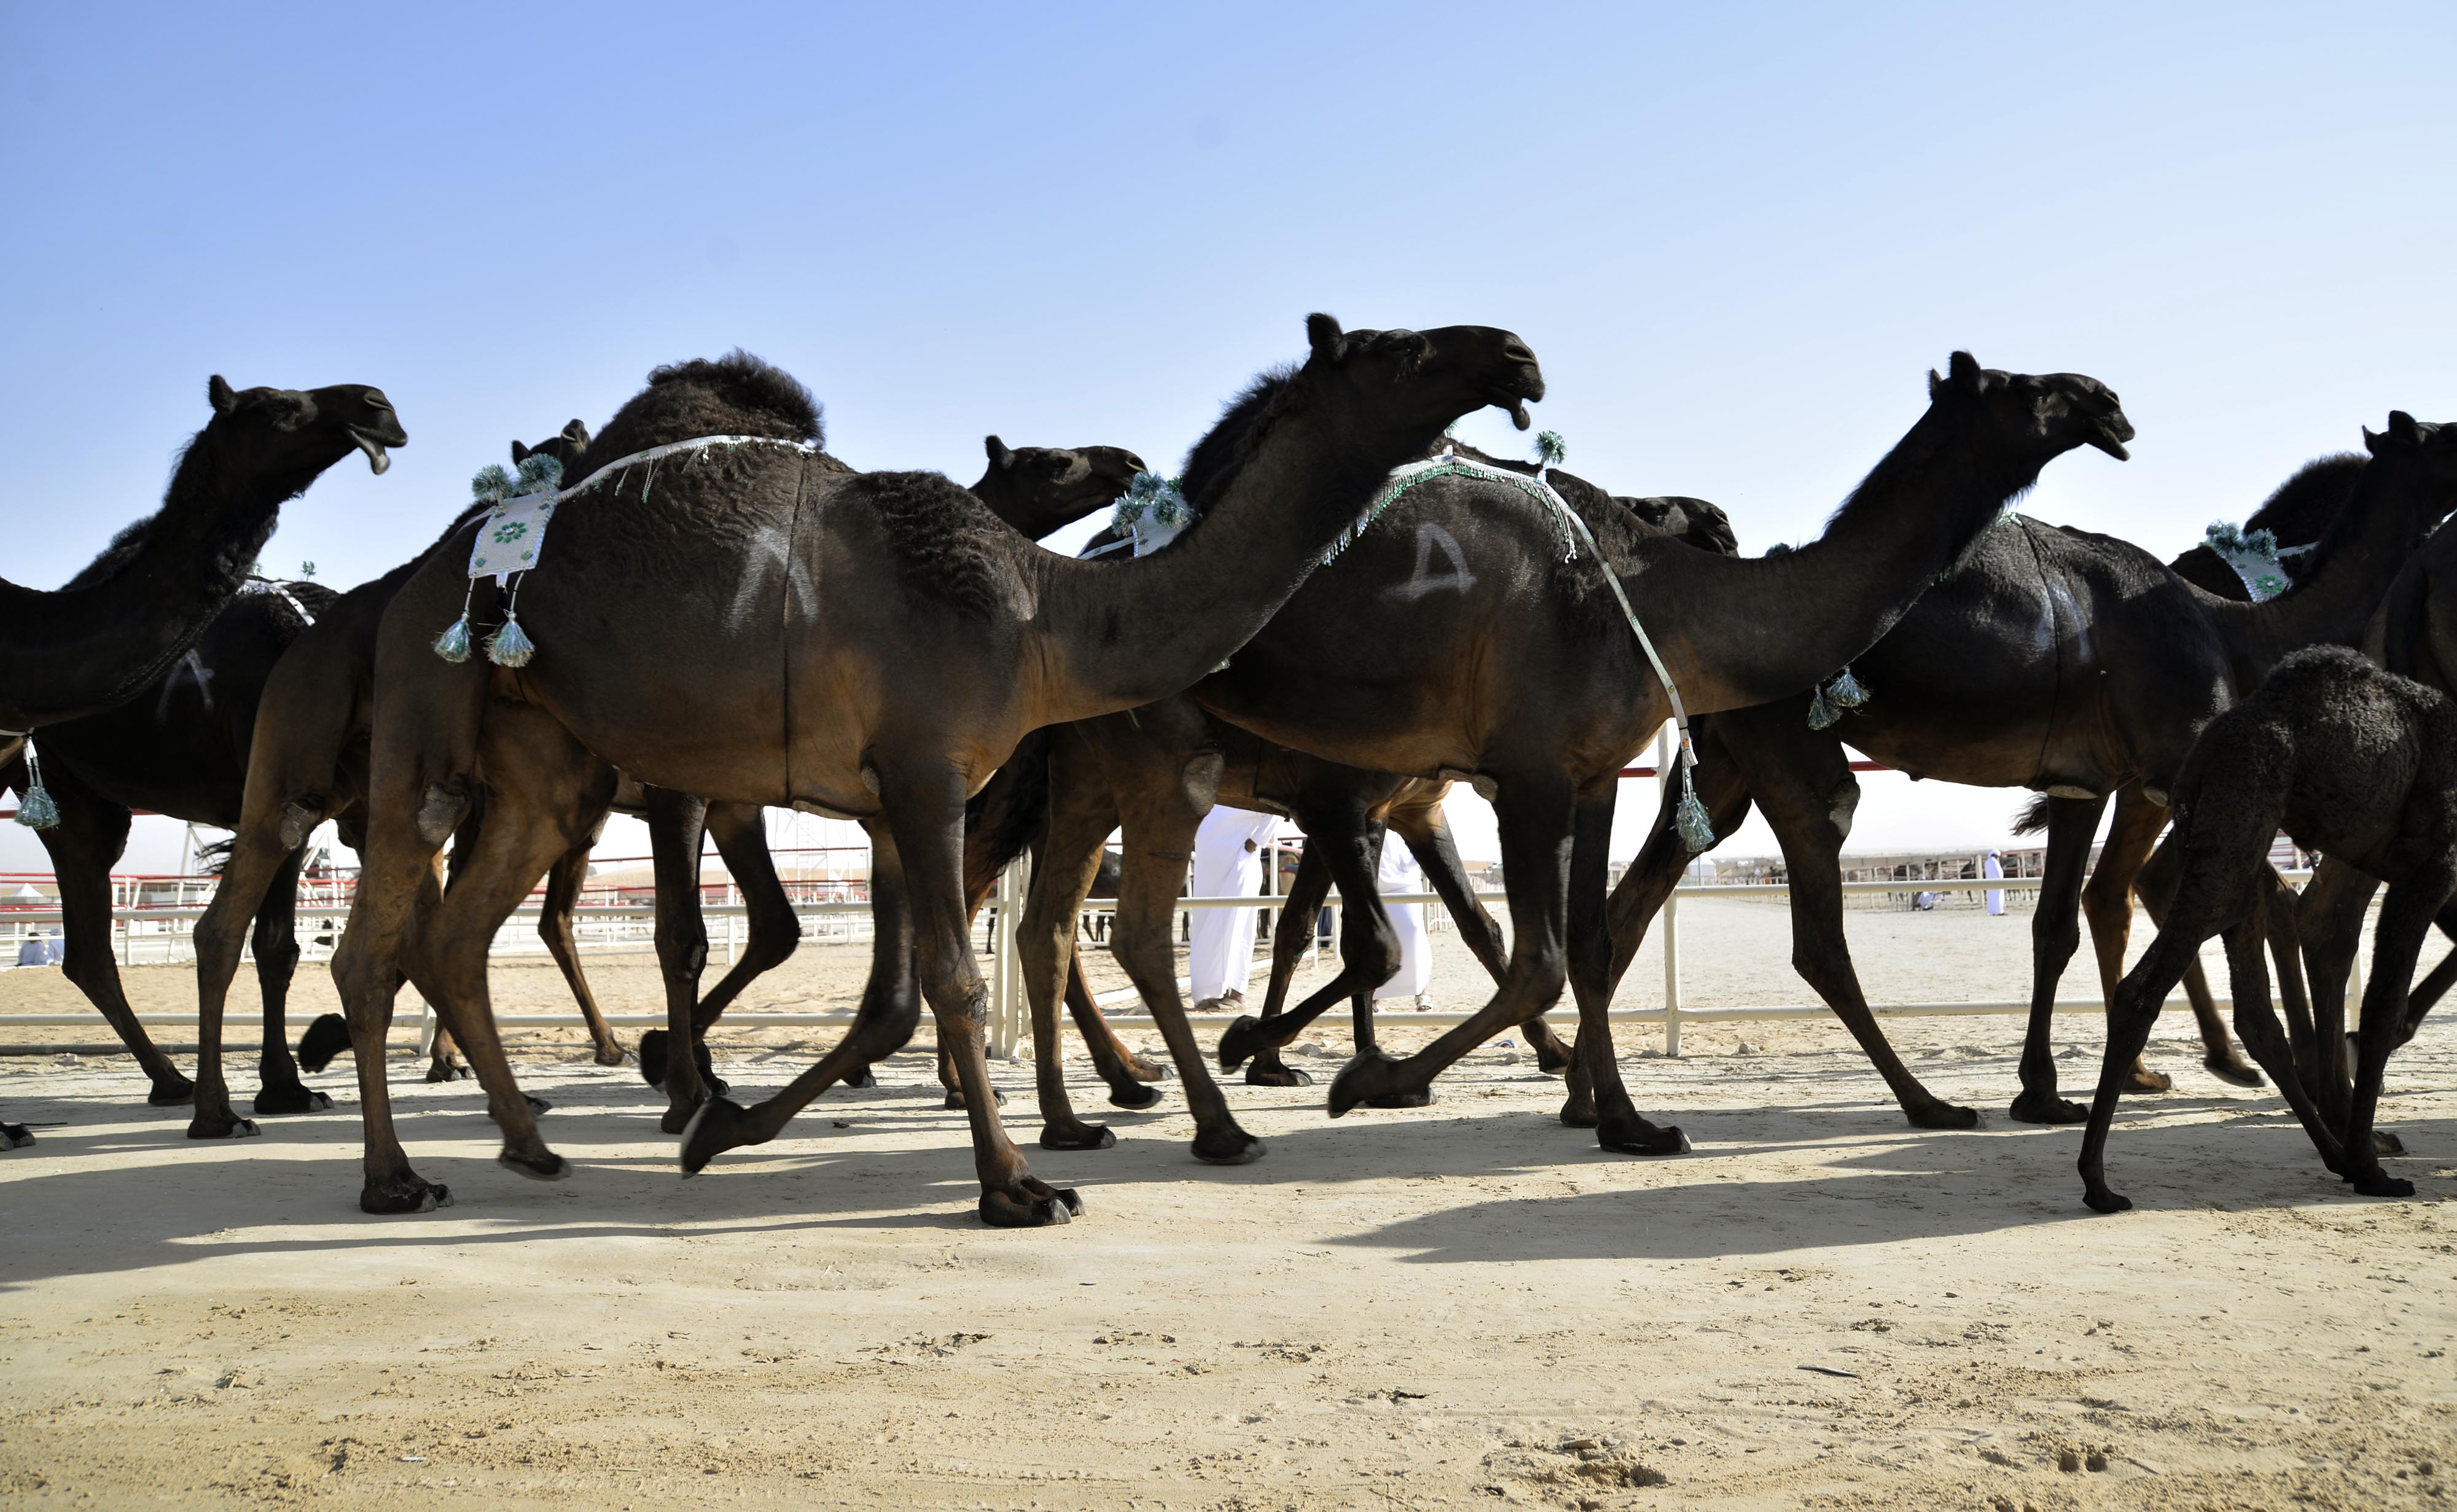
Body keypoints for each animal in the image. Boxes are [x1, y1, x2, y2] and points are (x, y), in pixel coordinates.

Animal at [329, 313, 1543, 1222]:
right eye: (1403, 350)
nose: (1516, 353)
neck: (1047, 611)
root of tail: (423, 570)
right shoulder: (923, 773)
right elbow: (952, 981)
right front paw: (1018, 1185)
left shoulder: (908, 798)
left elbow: (897, 1001)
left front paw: (724, 1124)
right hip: (428, 710)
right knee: (374, 942)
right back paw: (395, 1175)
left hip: (550, 762)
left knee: (456, 934)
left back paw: (530, 1142)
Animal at [1582, 427, 2447, 1134]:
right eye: (2450, 437)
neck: (2235, 620)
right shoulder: (2184, 759)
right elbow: (2260, 898)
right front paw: (2307, 1079)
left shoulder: (2084, 779)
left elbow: (2058, 922)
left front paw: (2042, 1092)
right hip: (1789, 751)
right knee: (1817, 927)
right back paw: (1926, 1102)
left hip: (1724, 764)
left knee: (1635, 898)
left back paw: (1591, 1104)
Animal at [2084, 643, 2447, 1212]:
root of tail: (2201, 755)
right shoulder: (2430, 868)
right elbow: (2382, 1006)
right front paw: (2375, 1169)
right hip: (2239, 828)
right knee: (2147, 987)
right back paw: (2098, 1183)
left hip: (2230, 846)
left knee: (2252, 1009)